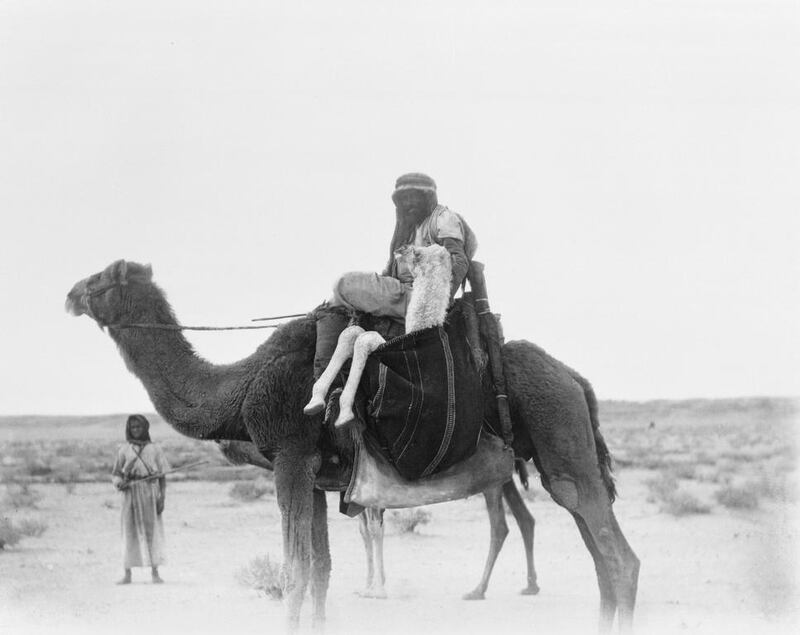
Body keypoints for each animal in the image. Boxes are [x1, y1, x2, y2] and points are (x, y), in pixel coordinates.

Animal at [67, 260, 644, 632]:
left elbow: (293, 573)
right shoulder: (317, 476)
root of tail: (574, 379)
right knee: (599, 556)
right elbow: (319, 572)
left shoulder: (291, 458)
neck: (244, 387)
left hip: (562, 441)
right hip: (558, 459)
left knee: (619, 560)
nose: (70, 293)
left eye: (103, 278)